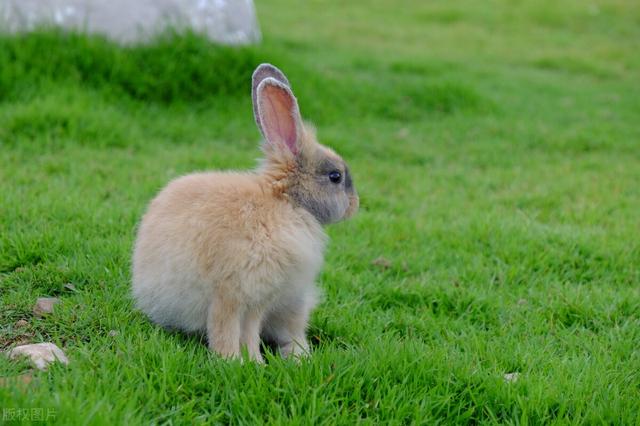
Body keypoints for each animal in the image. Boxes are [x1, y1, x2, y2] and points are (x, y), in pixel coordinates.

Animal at [130, 63, 360, 362]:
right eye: (335, 176)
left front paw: (251, 361)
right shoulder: (233, 294)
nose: (355, 204)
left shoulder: (260, 299)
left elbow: (249, 331)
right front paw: (240, 361)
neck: (286, 202)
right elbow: (230, 330)